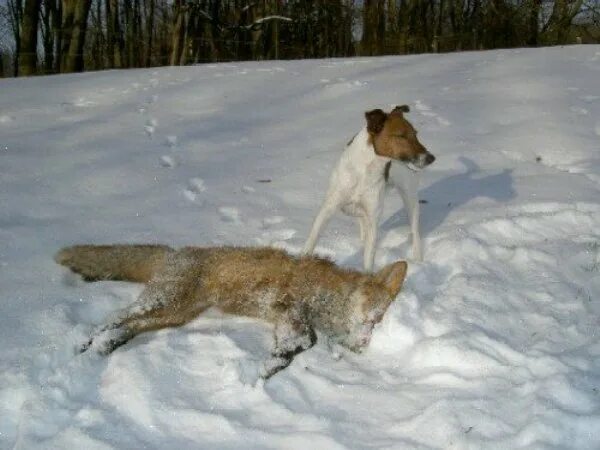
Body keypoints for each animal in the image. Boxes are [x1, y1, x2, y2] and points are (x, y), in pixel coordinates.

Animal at [56, 244, 408, 378]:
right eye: (375, 316)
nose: (363, 345)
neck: (328, 299)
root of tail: (174, 252)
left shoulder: (286, 317)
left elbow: (301, 343)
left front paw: (276, 362)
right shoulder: (288, 303)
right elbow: (307, 339)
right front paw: (274, 364)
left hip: (175, 315)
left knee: (126, 325)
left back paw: (108, 344)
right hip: (165, 303)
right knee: (112, 318)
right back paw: (87, 344)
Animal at [302, 105, 434, 270]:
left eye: (415, 134)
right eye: (402, 136)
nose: (431, 158)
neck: (366, 169)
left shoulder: (373, 218)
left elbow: (369, 258)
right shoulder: (328, 208)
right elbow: (312, 238)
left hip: (410, 197)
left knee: (415, 232)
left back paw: (418, 261)